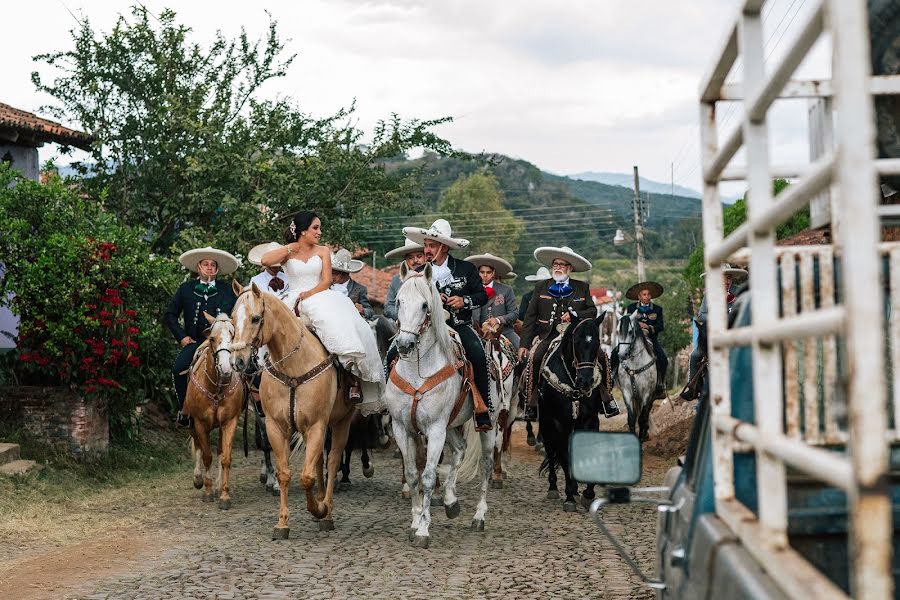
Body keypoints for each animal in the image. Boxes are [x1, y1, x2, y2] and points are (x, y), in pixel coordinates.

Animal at [184, 312, 246, 508]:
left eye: (233, 336)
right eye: (212, 338)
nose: (226, 368)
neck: (216, 388)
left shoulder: (230, 422)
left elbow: (225, 457)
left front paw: (224, 495)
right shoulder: (200, 423)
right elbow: (206, 456)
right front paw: (207, 491)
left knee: (219, 450)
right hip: (190, 422)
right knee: (197, 444)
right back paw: (198, 479)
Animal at [229, 282, 356, 540]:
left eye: (255, 318)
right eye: (232, 319)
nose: (238, 361)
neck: (293, 366)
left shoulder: (316, 425)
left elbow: (306, 476)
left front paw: (319, 509)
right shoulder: (276, 427)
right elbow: (286, 474)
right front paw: (282, 523)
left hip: (341, 422)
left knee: (332, 461)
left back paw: (326, 512)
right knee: (319, 462)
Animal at [382, 264, 500, 548]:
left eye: (425, 305)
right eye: (398, 301)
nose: (404, 345)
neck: (418, 370)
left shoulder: (435, 430)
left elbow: (428, 476)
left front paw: (424, 530)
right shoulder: (402, 428)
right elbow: (412, 474)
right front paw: (415, 521)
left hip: (489, 424)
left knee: (486, 465)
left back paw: (479, 517)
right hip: (452, 426)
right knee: (460, 449)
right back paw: (450, 501)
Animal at [536, 314, 608, 510]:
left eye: (597, 342)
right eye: (576, 342)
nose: (586, 381)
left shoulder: (590, 419)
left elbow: (588, 451)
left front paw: (588, 493)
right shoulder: (560, 422)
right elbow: (564, 455)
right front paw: (569, 495)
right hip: (545, 421)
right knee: (551, 449)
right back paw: (554, 487)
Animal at [616, 310, 656, 440]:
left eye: (630, 331)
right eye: (617, 331)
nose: (622, 355)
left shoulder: (647, 394)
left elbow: (642, 417)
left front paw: (642, 436)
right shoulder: (627, 393)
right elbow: (632, 418)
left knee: (646, 413)